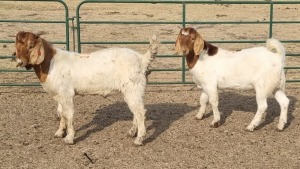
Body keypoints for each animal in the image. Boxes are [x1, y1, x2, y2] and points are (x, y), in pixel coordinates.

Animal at [14, 30, 158, 145]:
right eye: (16, 45)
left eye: (30, 45)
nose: (19, 61)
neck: (50, 63)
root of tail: (142, 59)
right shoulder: (59, 95)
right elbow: (61, 113)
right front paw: (60, 132)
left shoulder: (67, 94)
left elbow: (69, 115)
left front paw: (69, 138)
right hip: (132, 92)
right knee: (136, 111)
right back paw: (132, 132)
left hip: (134, 88)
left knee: (140, 112)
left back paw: (139, 139)